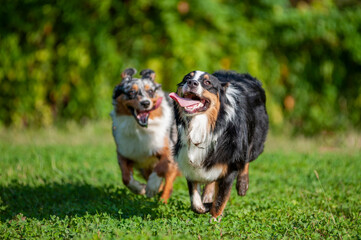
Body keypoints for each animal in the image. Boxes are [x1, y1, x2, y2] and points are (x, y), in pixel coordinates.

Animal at [108, 67, 179, 202]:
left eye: (150, 91)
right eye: (131, 92)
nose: (146, 103)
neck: (140, 129)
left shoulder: (168, 150)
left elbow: (161, 167)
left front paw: (152, 186)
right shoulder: (124, 152)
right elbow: (126, 178)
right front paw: (139, 188)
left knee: (168, 182)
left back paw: (162, 201)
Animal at [169, 70, 268, 221]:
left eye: (207, 82)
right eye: (187, 78)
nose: (192, 83)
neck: (204, 125)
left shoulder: (229, 165)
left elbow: (220, 199)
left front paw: (214, 219)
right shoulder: (189, 160)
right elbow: (195, 202)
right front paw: (206, 206)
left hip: (255, 140)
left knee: (246, 158)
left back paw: (242, 185)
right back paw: (208, 196)